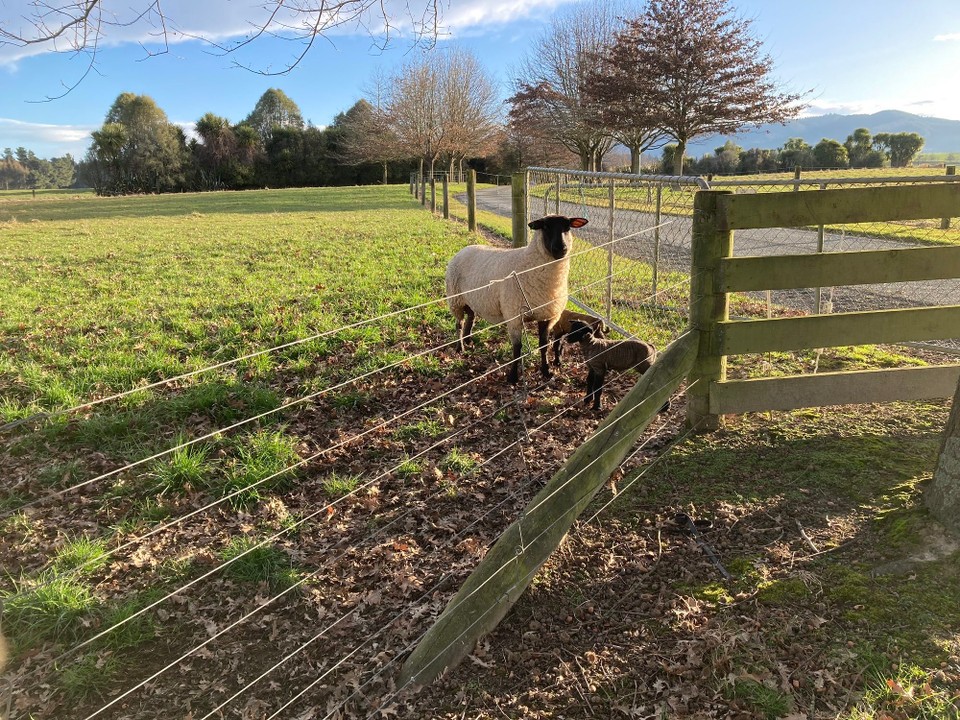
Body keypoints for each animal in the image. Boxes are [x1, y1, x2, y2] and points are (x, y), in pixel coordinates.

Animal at [446, 215, 588, 384]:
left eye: (567, 227)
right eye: (545, 227)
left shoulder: (546, 315)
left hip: (471, 299)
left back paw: (468, 340)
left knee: (471, 317)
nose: (561, 249)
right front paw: (513, 376)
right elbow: (517, 348)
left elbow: (544, 345)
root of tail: (464, 249)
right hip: (455, 299)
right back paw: (459, 347)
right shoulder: (514, 316)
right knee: (459, 324)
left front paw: (546, 370)